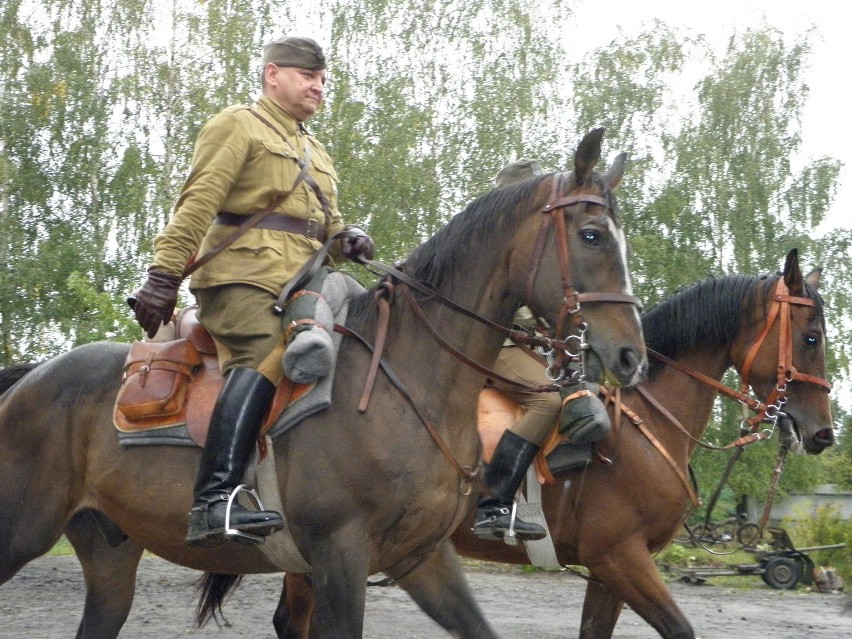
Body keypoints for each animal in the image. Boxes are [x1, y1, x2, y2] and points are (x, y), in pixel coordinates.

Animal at [0, 127, 644, 636]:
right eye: (591, 235)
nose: (630, 354)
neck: (408, 386)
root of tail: (33, 376)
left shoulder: (423, 559)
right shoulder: (341, 560)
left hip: (110, 555)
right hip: (21, 531)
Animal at [278, 248, 832, 636]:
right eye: (811, 337)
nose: (822, 434)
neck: (645, 425)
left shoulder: (610, 573)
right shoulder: (620, 558)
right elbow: (679, 629)